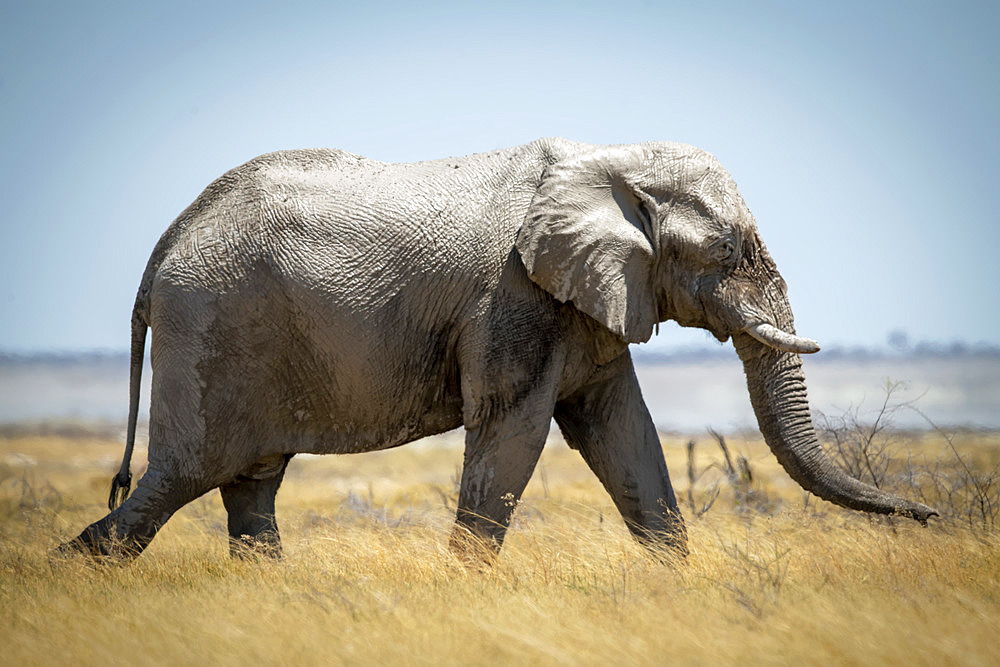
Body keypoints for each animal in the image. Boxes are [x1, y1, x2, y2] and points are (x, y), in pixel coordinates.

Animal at [60, 140, 936, 564]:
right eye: (729, 251)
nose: (932, 514)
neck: (610, 158)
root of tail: (168, 241)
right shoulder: (513, 298)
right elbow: (513, 434)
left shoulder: (582, 303)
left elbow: (624, 435)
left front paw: (680, 587)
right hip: (213, 328)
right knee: (180, 479)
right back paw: (71, 571)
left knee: (250, 487)